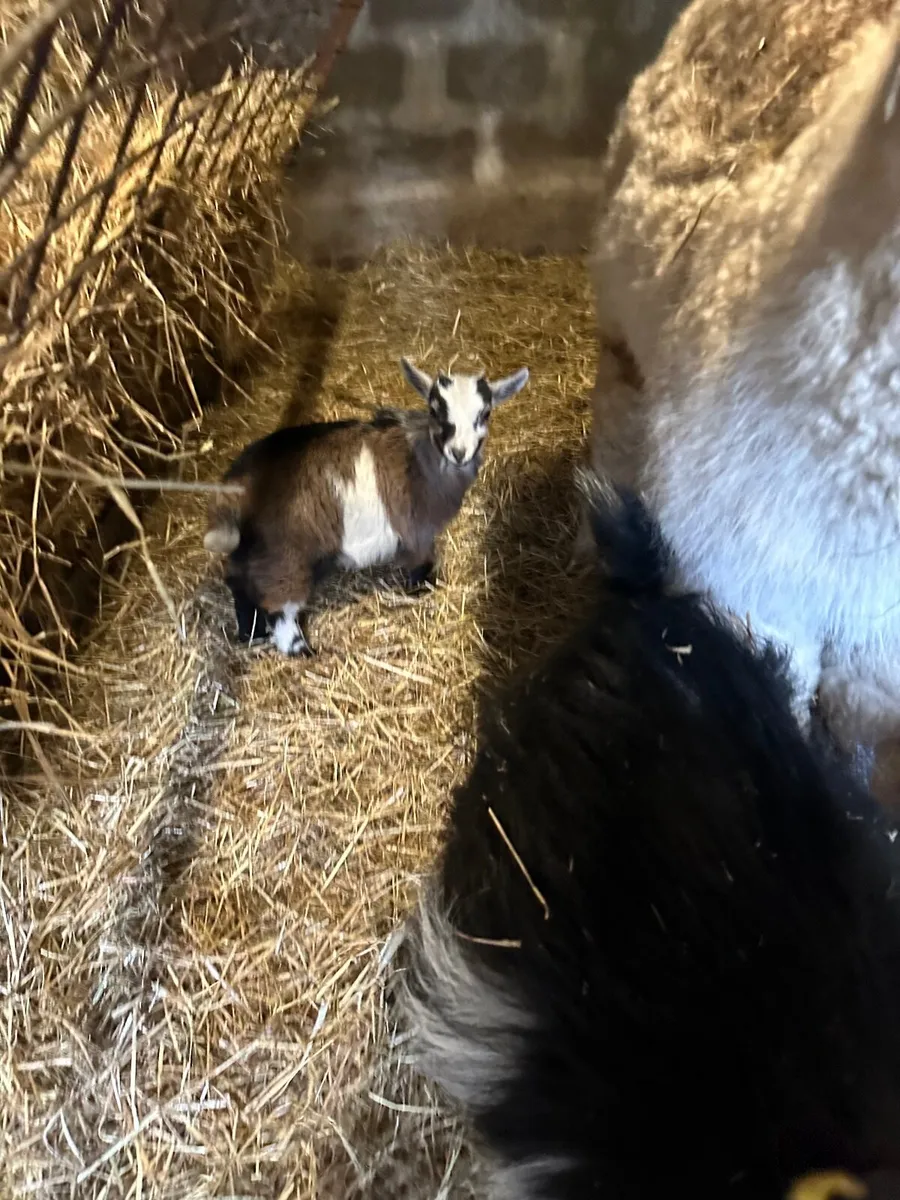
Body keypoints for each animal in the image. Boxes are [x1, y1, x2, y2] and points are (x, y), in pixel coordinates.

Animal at [204, 358, 529, 655]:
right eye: (436, 411)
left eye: (485, 414)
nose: (459, 452)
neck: (421, 457)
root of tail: (236, 484)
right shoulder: (416, 528)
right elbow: (421, 564)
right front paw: (421, 592)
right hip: (284, 551)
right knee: (279, 604)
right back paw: (299, 649)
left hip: (253, 545)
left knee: (238, 579)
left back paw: (251, 633)